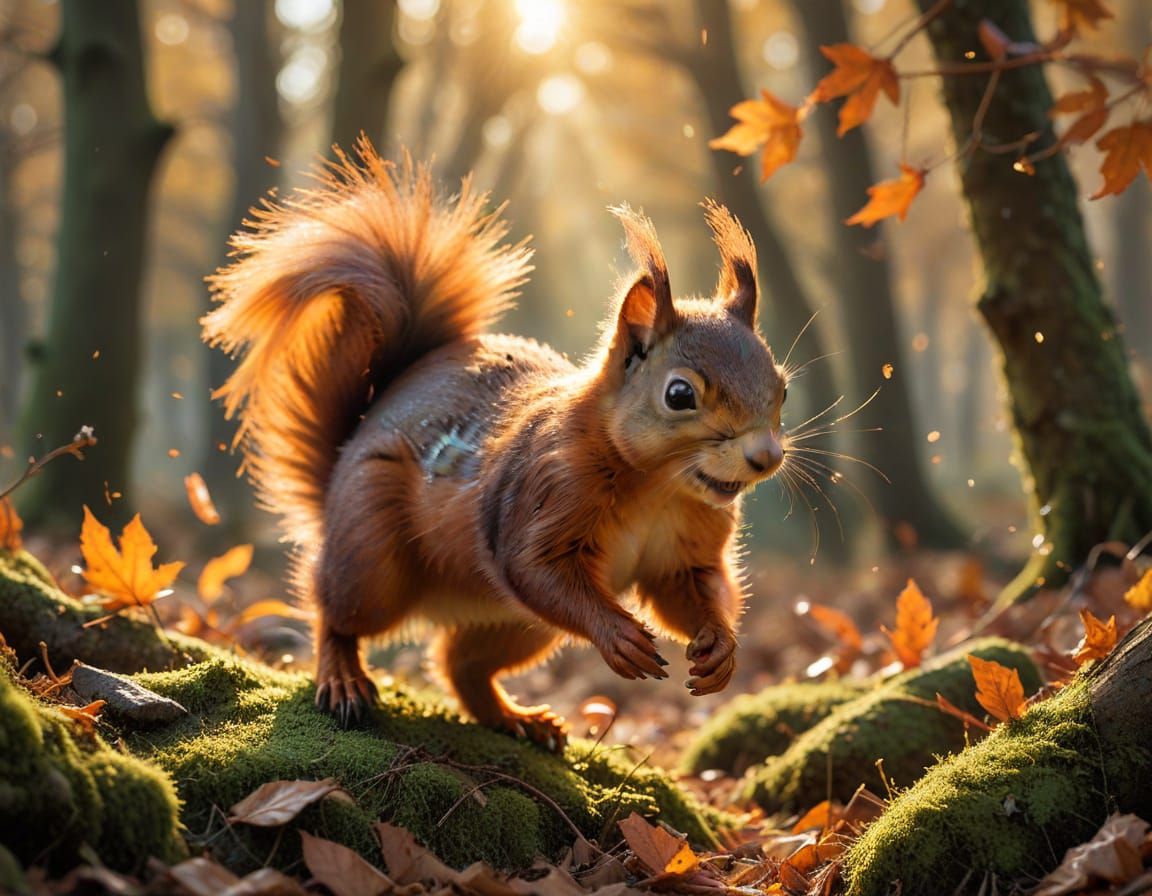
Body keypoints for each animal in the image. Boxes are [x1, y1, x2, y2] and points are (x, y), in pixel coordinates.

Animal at [202, 141, 788, 750]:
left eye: (782, 388)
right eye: (679, 394)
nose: (766, 458)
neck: (658, 486)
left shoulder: (686, 546)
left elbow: (689, 590)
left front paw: (720, 647)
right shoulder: (545, 488)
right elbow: (535, 568)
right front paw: (618, 634)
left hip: (516, 625)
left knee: (460, 665)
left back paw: (518, 718)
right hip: (372, 553)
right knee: (335, 610)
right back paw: (342, 676)